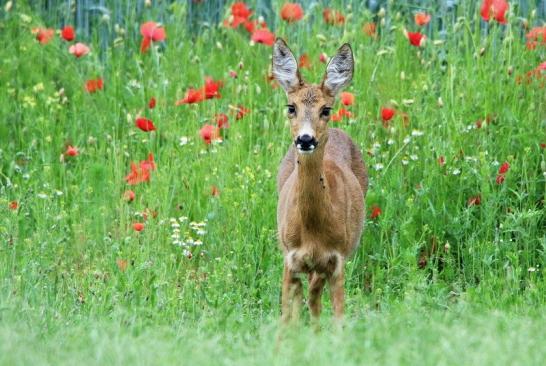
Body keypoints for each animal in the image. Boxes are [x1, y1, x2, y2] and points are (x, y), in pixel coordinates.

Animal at [270, 40, 368, 324]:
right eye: (291, 107)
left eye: (326, 109)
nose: (305, 139)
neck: (312, 231)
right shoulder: (289, 258)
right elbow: (286, 317)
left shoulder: (337, 260)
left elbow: (338, 316)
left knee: (315, 300)